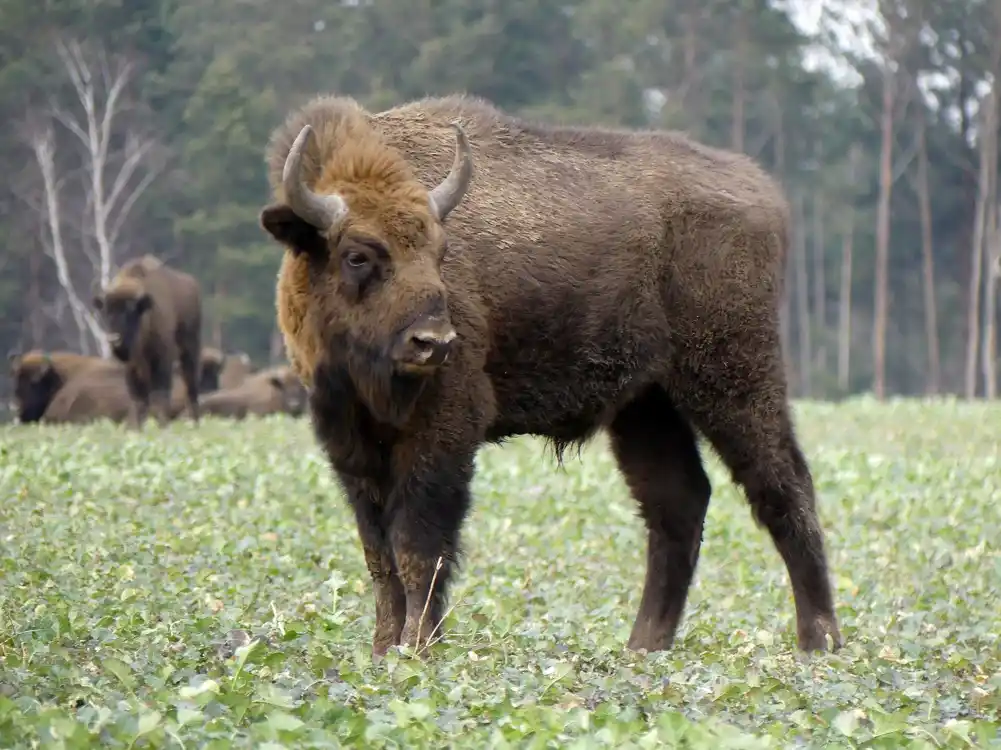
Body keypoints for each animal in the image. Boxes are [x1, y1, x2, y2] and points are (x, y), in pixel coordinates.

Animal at [94, 254, 203, 426]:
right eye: (106, 312)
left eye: (130, 311)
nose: (113, 339)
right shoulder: (132, 367)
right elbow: (138, 399)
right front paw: (136, 427)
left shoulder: (162, 359)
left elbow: (160, 394)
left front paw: (162, 425)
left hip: (190, 350)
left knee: (191, 385)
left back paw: (194, 423)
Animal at [260, 95, 844, 660]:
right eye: (357, 255)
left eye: (441, 251)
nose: (434, 342)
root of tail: (762, 191)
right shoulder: (352, 446)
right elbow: (378, 554)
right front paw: (383, 651)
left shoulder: (443, 435)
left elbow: (417, 548)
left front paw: (417, 649)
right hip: (646, 407)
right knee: (679, 502)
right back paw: (643, 648)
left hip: (734, 380)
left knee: (783, 486)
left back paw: (819, 643)